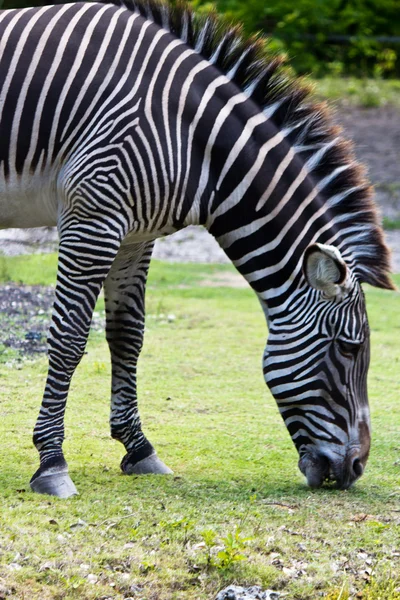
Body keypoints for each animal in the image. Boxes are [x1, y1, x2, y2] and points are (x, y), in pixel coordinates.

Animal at [0, 0, 394, 496]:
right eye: (348, 349)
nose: (357, 468)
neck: (190, 139)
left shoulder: (135, 233)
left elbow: (128, 335)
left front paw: (139, 448)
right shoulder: (92, 216)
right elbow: (70, 337)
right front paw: (51, 462)